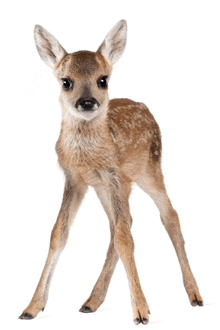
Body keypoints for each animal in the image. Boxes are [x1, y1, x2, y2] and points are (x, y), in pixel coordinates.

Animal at [18, 19, 203, 324]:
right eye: (66, 82)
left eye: (102, 80)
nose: (87, 102)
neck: (89, 157)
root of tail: (144, 107)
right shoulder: (76, 179)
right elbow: (59, 233)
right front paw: (31, 307)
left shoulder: (114, 175)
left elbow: (125, 239)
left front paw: (140, 312)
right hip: (109, 188)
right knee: (119, 226)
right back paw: (91, 301)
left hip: (149, 170)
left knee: (168, 216)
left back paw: (195, 295)